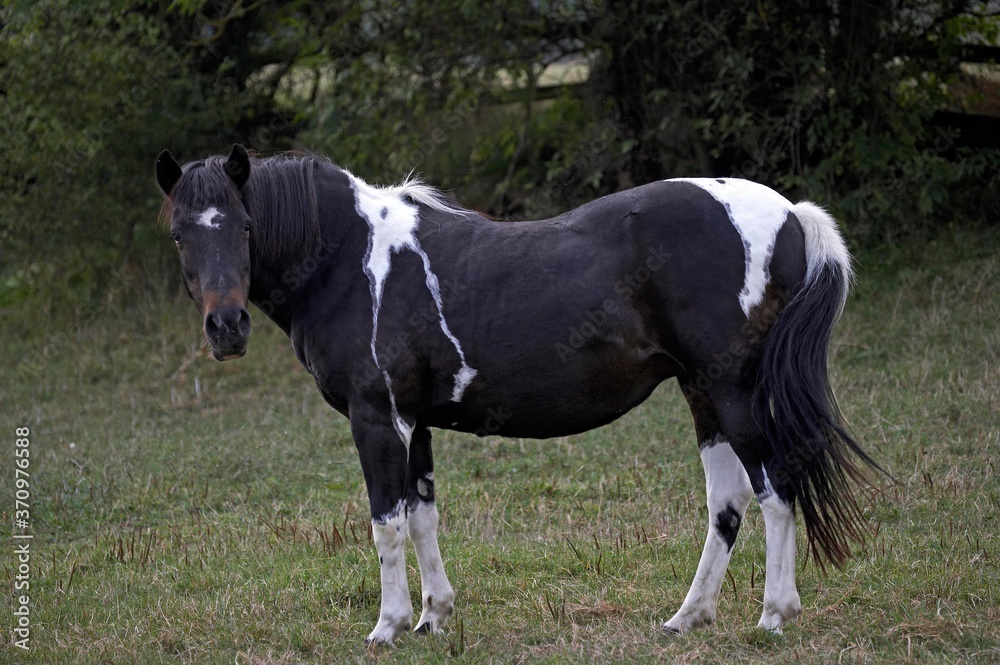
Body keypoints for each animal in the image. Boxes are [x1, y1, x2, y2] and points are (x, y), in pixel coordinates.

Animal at [152, 141, 880, 644]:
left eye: (246, 227)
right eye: (180, 233)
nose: (226, 328)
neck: (351, 260)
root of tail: (790, 214)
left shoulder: (378, 419)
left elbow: (386, 521)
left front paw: (388, 626)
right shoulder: (417, 423)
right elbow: (423, 515)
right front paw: (434, 617)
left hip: (733, 391)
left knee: (776, 492)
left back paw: (773, 616)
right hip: (704, 394)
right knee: (727, 505)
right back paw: (687, 617)